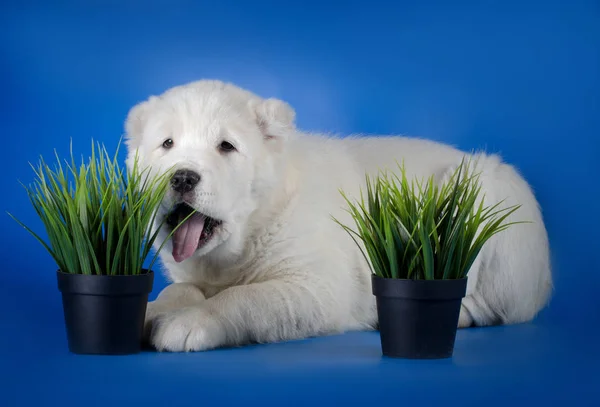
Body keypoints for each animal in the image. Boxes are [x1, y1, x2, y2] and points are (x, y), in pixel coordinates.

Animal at [123, 80, 552, 354]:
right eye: (167, 144)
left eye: (226, 146)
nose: (182, 176)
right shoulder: (194, 273)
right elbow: (179, 291)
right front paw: (157, 310)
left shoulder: (317, 287)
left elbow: (244, 298)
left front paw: (189, 323)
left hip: (482, 193)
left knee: (493, 300)